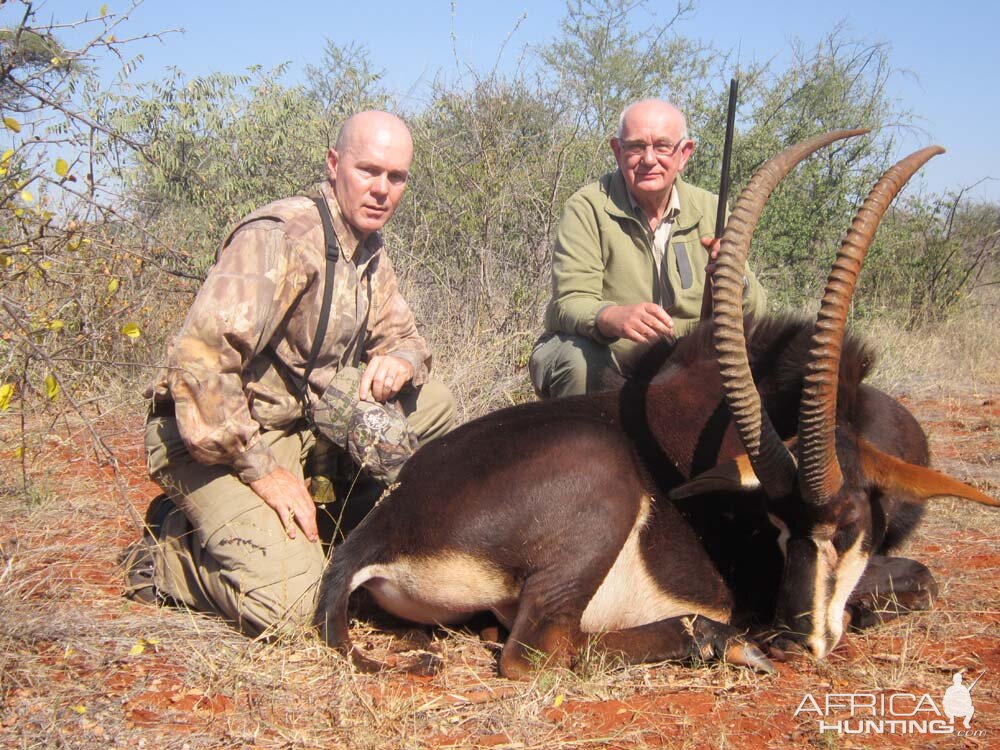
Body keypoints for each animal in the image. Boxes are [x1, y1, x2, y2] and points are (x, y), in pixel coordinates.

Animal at [310, 131, 992, 680]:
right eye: (773, 525)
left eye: (847, 524)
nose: (797, 639)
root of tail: (373, 535)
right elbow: (920, 578)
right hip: (599, 481)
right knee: (533, 653)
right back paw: (720, 640)